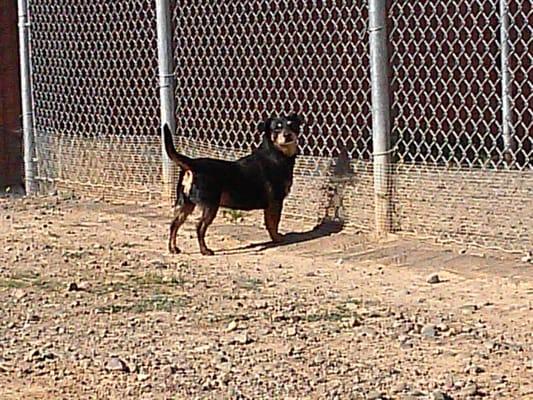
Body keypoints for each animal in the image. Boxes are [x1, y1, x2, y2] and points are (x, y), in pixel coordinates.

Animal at [162, 114, 304, 255]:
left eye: (292, 125)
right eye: (277, 128)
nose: (287, 135)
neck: (276, 153)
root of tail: (193, 164)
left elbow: (270, 223)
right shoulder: (276, 201)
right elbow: (273, 223)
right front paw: (277, 238)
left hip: (185, 204)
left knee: (174, 224)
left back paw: (173, 248)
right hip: (210, 205)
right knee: (199, 227)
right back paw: (205, 250)